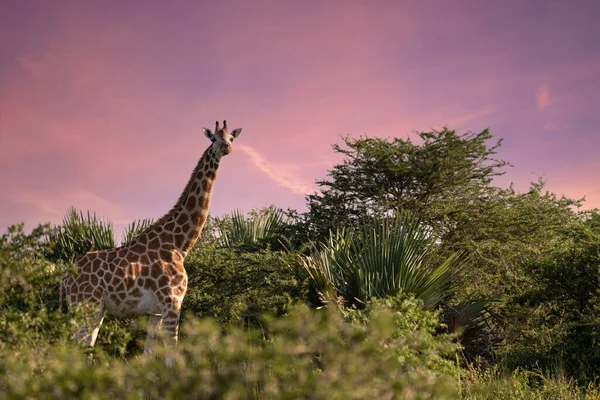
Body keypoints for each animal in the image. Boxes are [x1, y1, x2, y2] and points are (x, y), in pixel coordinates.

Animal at [59, 118, 240, 362]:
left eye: (231, 138)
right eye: (213, 138)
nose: (226, 148)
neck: (179, 245)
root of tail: (66, 277)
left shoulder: (156, 311)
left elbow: (148, 355)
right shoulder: (173, 301)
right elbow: (172, 354)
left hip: (92, 309)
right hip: (87, 304)